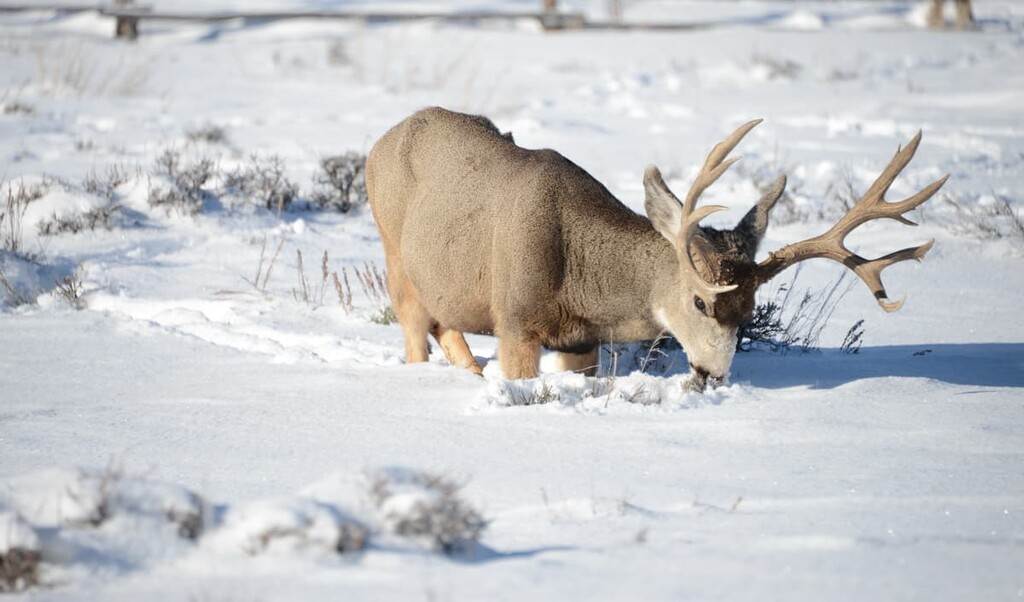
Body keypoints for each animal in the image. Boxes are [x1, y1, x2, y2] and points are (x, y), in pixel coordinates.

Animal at [366, 107, 947, 391]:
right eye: (699, 300)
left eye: (750, 312)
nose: (711, 374)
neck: (579, 277)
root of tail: (379, 141)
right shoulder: (516, 319)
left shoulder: (581, 338)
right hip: (394, 253)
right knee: (415, 327)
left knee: (446, 325)